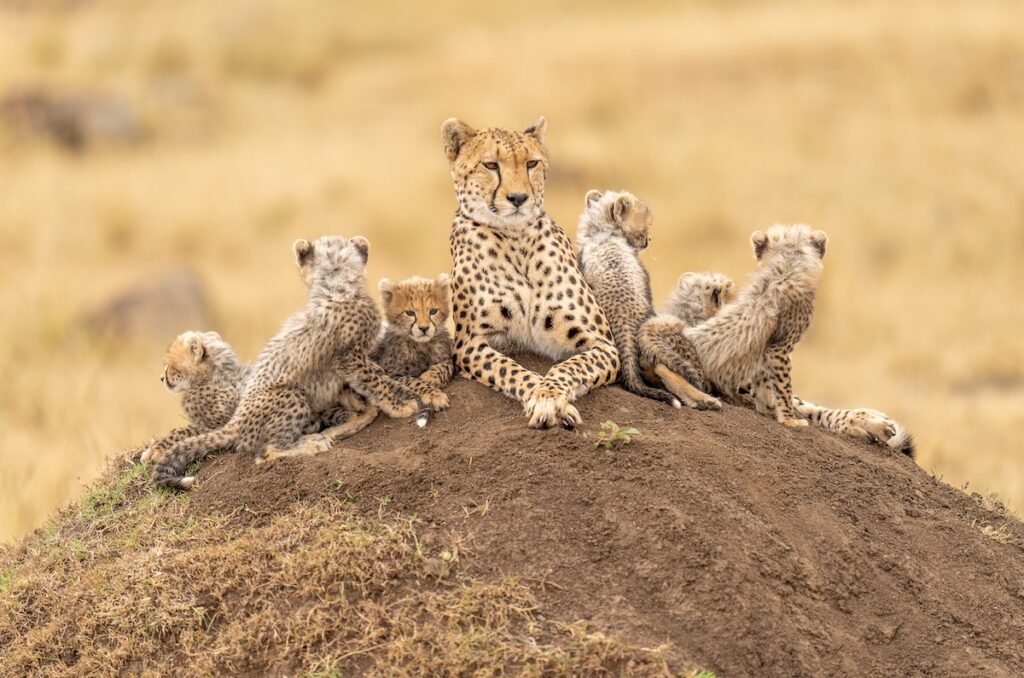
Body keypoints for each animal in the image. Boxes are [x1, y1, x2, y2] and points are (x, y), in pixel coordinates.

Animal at [442, 116, 620, 429]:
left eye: (532, 163)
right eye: (490, 165)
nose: (518, 198)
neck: (515, 238)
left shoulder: (603, 345)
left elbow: (570, 365)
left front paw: (550, 396)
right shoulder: (469, 344)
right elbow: (509, 369)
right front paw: (545, 399)